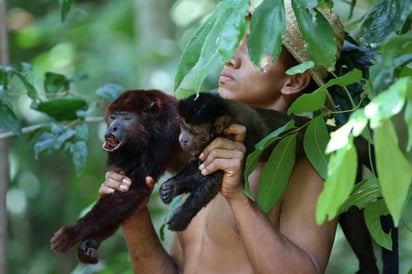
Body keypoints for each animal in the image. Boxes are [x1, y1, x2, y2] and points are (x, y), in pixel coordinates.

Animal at [49, 89, 188, 264]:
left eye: (127, 117)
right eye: (113, 117)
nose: (112, 128)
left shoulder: (165, 136)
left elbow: (134, 189)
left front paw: (72, 233)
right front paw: (90, 244)